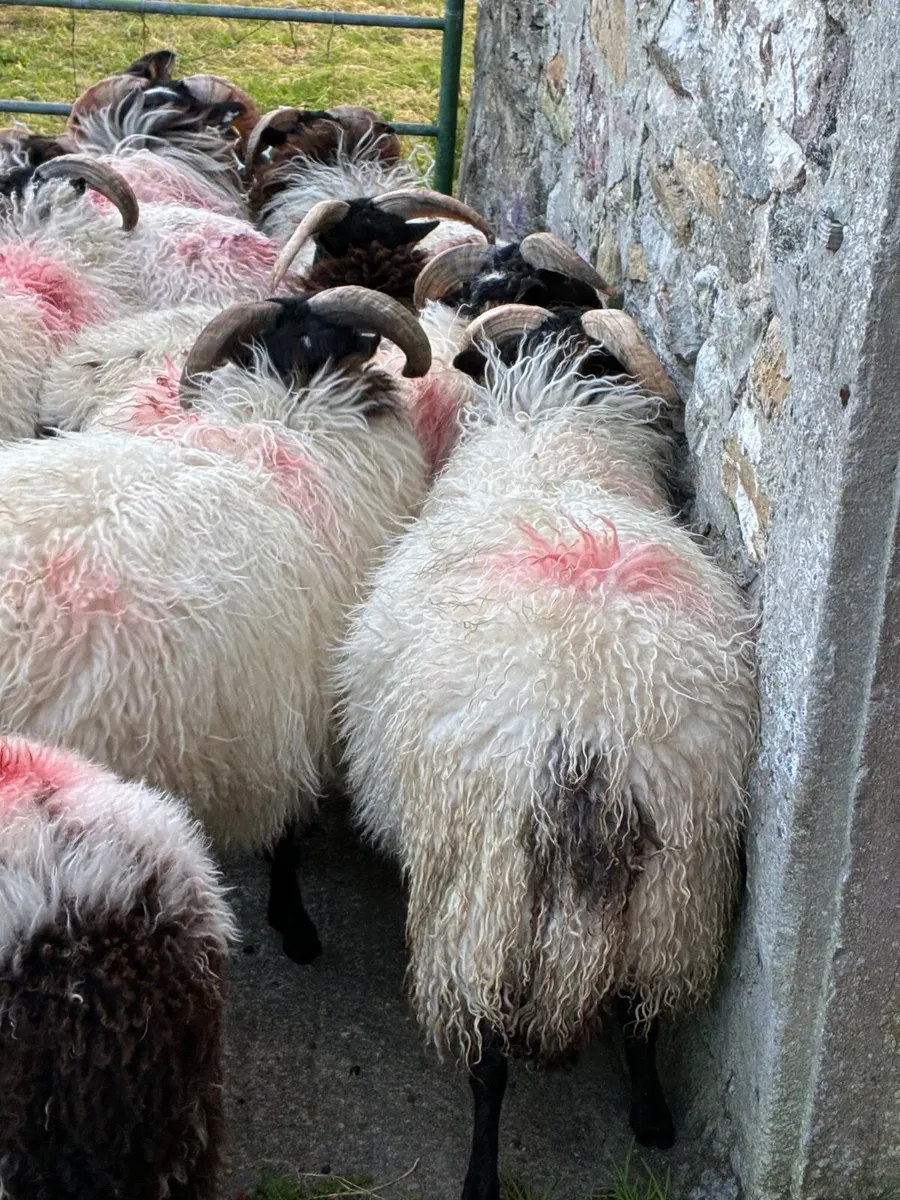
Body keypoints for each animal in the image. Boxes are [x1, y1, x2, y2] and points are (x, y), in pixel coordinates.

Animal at [337, 305, 757, 1199]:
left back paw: (481, 1179)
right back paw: (652, 1118)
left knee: (489, 1061)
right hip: (678, 887)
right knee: (642, 1012)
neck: (551, 430)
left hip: (482, 899)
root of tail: (590, 738)